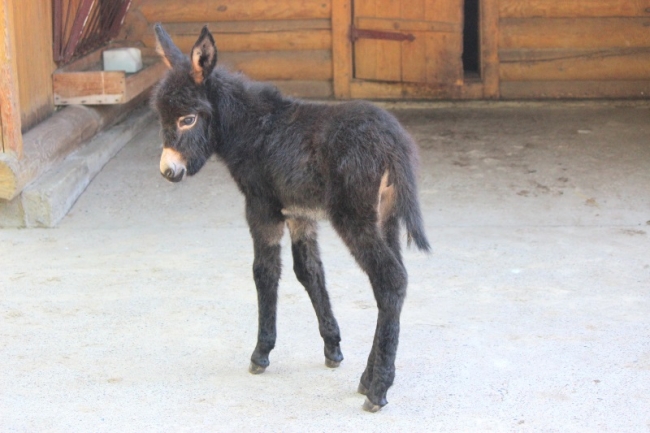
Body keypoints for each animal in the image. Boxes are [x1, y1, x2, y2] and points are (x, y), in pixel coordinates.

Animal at [152, 24, 430, 412]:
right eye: (161, 119)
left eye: (188, 119)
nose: (168, 171)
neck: (251, 128)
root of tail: (394, 143)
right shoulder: (300, 213)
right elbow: (309, 272)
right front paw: (332, 346)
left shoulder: (261, 208)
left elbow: (265, 273)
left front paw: (261, 352)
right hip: (385, 220)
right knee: (392, 282)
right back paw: (366, 378)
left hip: (355, 218)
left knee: (390, 280)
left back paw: (378, 389)